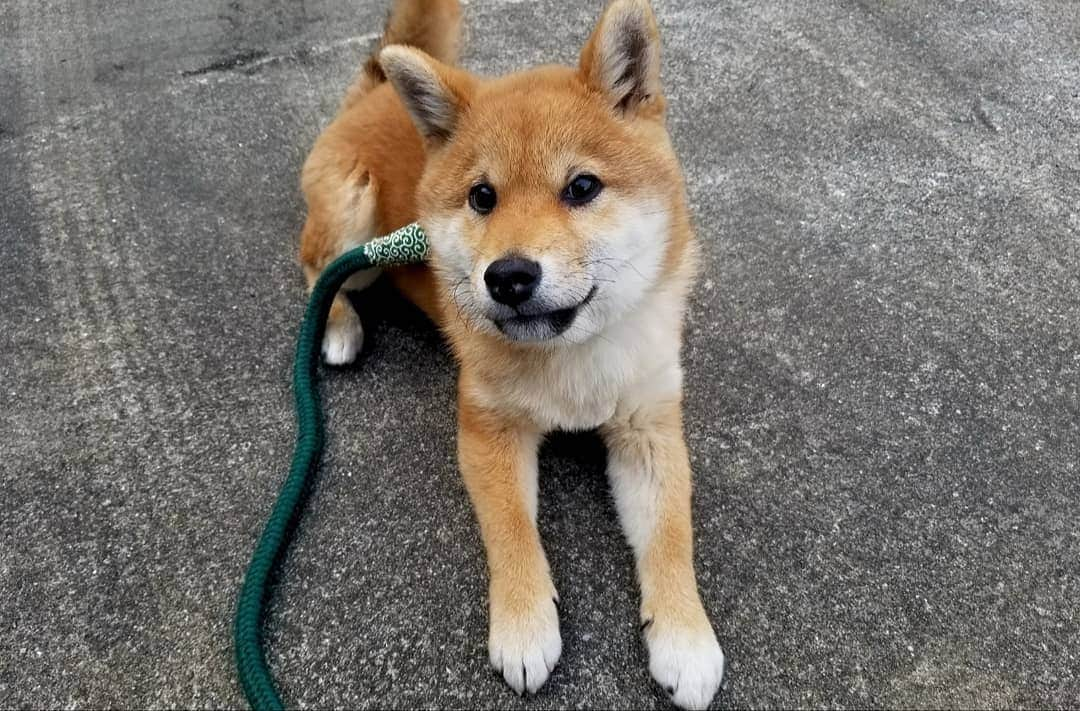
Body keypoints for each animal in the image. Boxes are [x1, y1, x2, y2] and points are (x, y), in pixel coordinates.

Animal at [298, 0, 725, 704]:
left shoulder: (648, 429)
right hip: (356, 229)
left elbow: (671, 537)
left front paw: (686, 639)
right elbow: (512, 531)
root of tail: (378, 88)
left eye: (582, 187)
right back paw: (335, 327)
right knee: (315, 269)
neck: (574, 359)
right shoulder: (487, 429)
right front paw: (525, 626)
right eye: (482, 197)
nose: (508, 277)